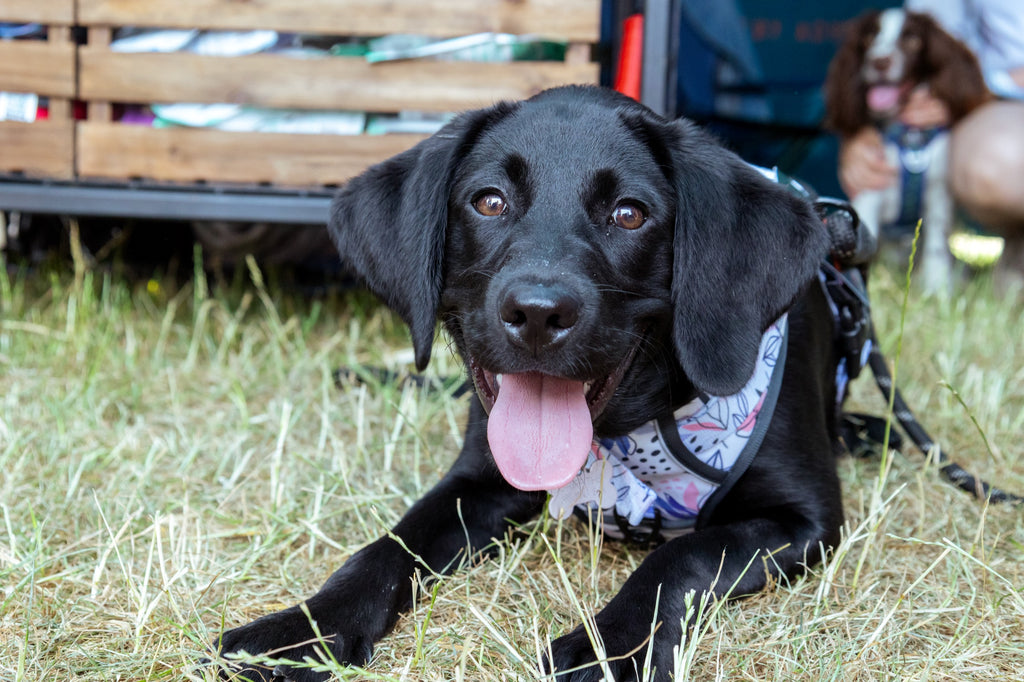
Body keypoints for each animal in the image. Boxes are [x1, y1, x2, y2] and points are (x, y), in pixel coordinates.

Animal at [214, 86, 839, 679]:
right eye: (490, 202)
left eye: (629, 214)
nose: (538, 313)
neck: (630, 436)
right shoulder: (477, 481)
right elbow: (390, 544)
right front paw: (304, 630)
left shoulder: (805, 520)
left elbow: (681, 556)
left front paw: (609, 650)